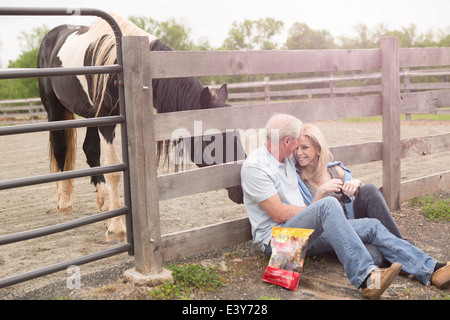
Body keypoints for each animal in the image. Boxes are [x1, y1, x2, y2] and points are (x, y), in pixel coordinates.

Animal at [37, 11, 244, 242]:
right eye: (210, 140)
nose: (242, 189)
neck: (123, 65)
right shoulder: (107, 119)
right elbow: (114, 171)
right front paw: (116, 228)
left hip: (90, 115)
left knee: (90, 150)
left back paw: (104, 201)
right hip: (55, 109)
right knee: (60, 148)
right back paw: (64, 202)